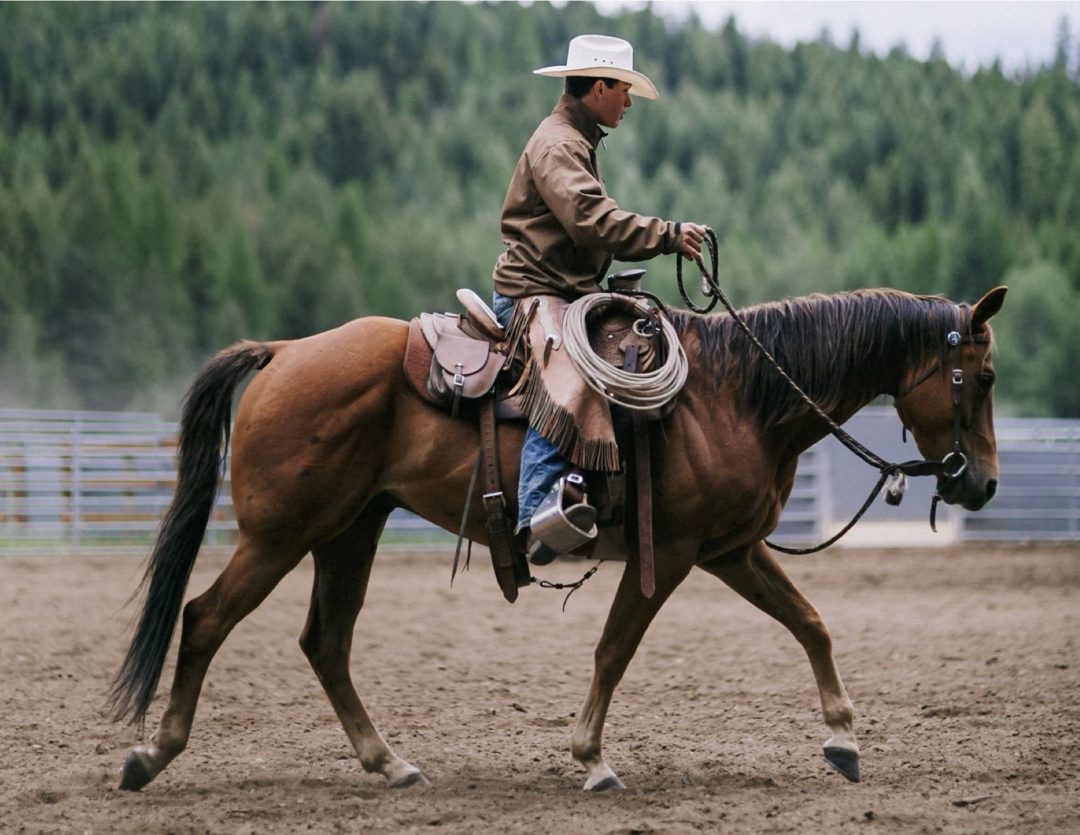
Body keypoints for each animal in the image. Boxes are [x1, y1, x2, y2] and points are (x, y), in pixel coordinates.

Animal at [107, 287, 1002, 795]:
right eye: (984, 377)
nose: (985, 484)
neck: (735, 394)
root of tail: (286, 351)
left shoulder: (729, 549)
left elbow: (811, 622)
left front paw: (843, 738)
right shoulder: (676, 552)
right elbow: (615, 648)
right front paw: (591, 758)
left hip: (349, 531)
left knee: (325, 641)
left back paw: (387, 762)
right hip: (280, 533)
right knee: (206, 618)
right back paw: (152, 755)